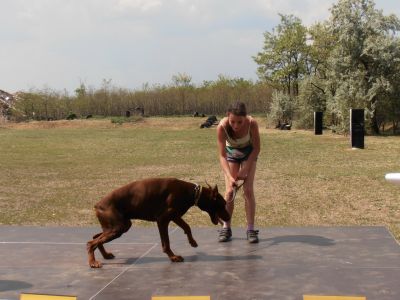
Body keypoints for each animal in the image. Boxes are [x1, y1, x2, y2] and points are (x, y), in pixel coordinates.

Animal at [87, 178, 231, 268]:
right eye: (223, 204)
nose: (229, 217)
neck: (192, 193)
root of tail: (97, 205)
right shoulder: (162, 220)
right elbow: (166, 243)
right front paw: (173, 257)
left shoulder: (175, 216)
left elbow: (187, 227)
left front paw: (192, 242)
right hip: (118, 228)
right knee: (91, 242)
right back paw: (93, 262)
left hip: (119, 226)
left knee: (95, 237)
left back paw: (105, 255)